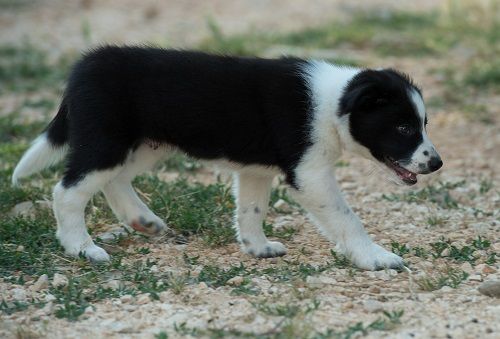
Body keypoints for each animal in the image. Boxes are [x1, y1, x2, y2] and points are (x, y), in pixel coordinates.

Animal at [11, 47, 442, 270]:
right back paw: (81, 248)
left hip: (145, 145)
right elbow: (347, 218)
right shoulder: (310, 173)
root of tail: (84, 66)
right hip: (107, 141)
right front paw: (375, 257)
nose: (436, 163)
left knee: (113, 181)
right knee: (67, 191)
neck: (335, 102)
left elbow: (251, 209)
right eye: (403, 127)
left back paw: (142, 221)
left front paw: (257, 247)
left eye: (423, 123)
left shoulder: (256, 172)